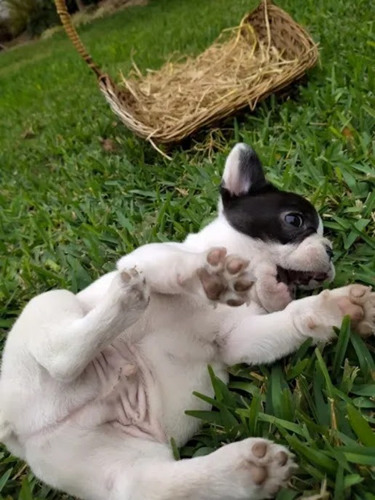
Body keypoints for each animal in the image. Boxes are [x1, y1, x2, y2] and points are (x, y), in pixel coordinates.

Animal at [0, 142, 375, 500]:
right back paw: (124, 302)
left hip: (115, 459)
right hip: (47, 307)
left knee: (146, 484)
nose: (329, 251)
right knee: (60, 357)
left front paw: (338, 308)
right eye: (294, 220)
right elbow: (179, 266)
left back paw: (243, 470)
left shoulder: (238, 338)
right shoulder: (148, 257)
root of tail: (16, 431)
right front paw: (212, 273)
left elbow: (293, 317)